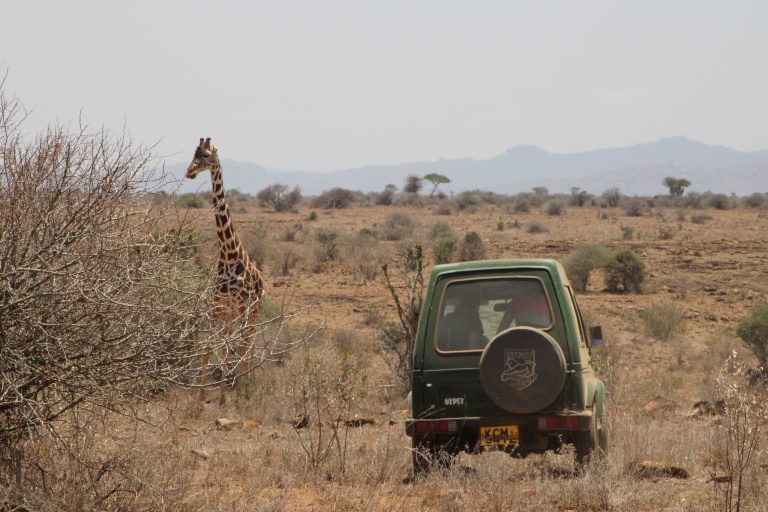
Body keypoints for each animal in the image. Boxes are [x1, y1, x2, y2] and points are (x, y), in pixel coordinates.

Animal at [184, 137, 266, 404]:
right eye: (193, 153)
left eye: (207, 155)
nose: (189, 171)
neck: (228, 253)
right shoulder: (217, 307)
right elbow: (210, 347)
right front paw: (201, 397)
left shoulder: (241, 307)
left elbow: (234, 348)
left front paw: (229, 396)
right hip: (232, 316)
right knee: (231, 345)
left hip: (252, 313)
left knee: (245, 347)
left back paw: (243, 390)